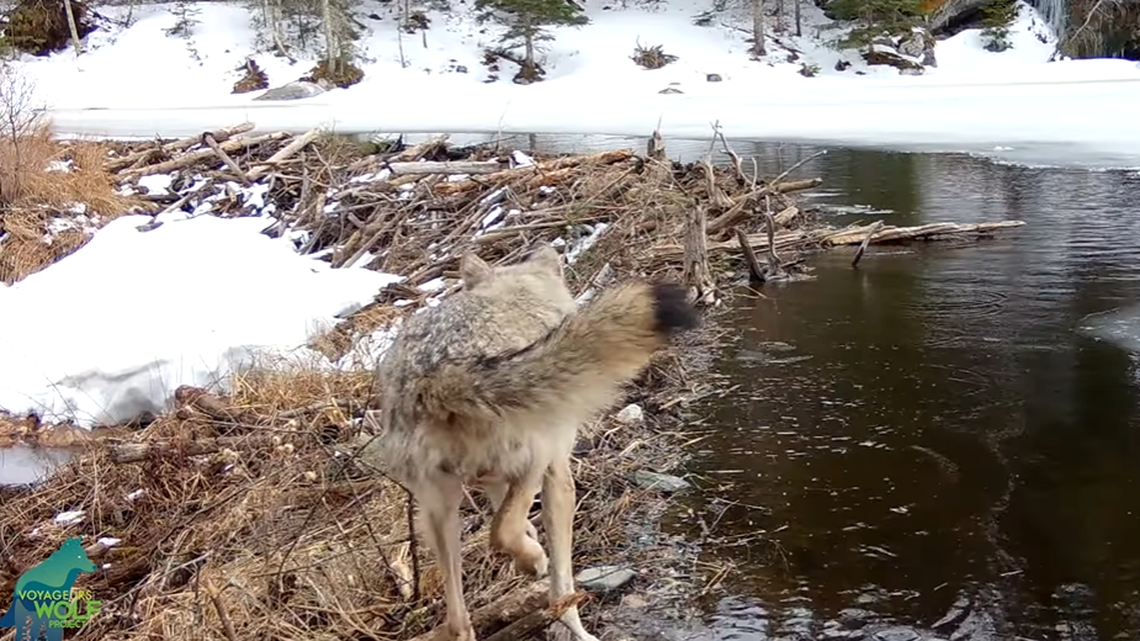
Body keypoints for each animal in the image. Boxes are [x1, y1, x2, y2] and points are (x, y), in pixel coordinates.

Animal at [356, 244, 698, 641]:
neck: (518, 295)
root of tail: (435, 372)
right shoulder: (557, 476)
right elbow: (558, 578)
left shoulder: (491, 479)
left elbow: (502, 512)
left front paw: (530, 537)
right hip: (534, 459)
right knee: (509, 544)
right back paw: (536, 564)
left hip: (439, 511)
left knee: (459, 619)